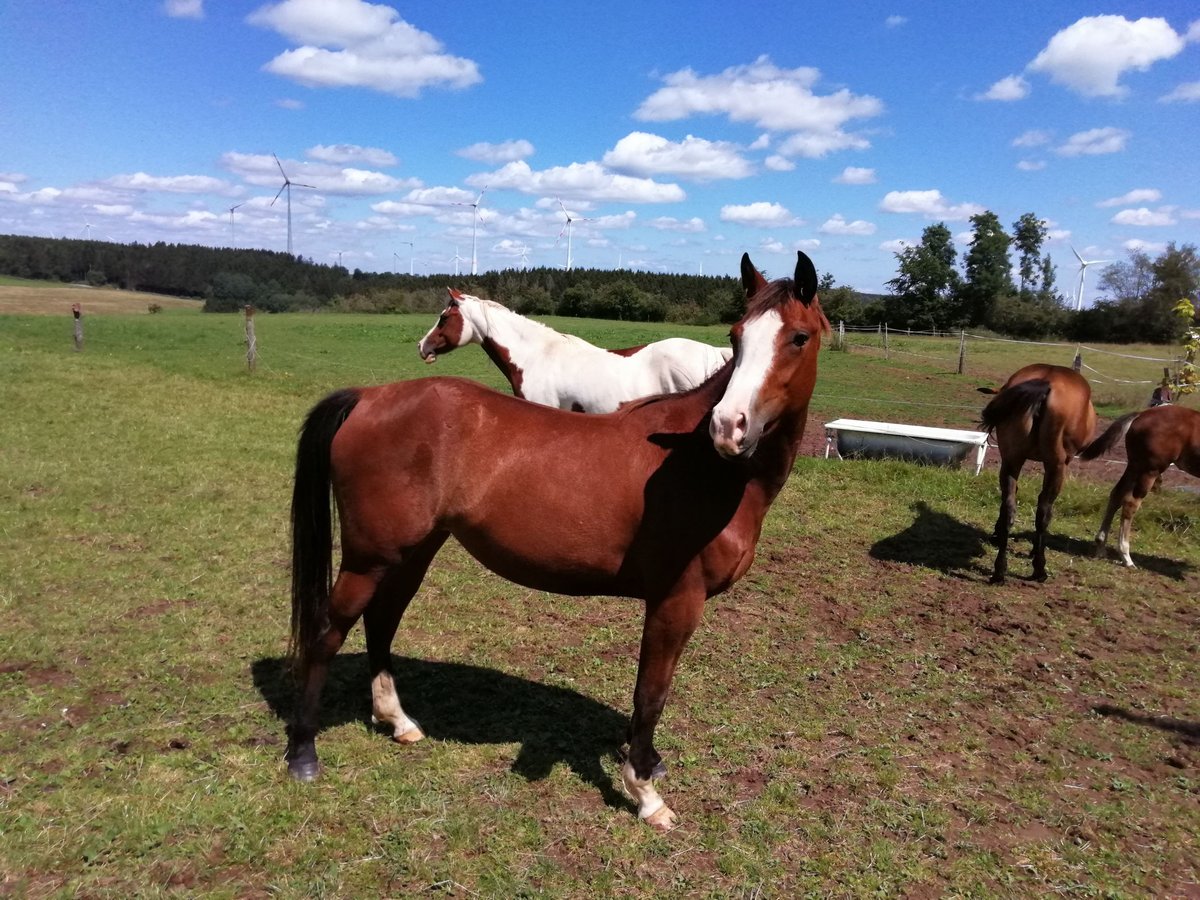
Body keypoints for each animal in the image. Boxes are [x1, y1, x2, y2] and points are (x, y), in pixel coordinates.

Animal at [979, 364, 1094, 585]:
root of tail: (1046, 383)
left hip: (1011, 460)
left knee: (1009, 507)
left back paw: (999, 571)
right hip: (1056, 466)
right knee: (1043, 512)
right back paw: (1039, 569)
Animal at [1080, 405, 1200, 566]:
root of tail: (1141, 414)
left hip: (1134, 467)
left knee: (1116, 495)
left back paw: (1101, 547)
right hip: (1149, 470)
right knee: (1130, 503)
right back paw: (1126, 557)